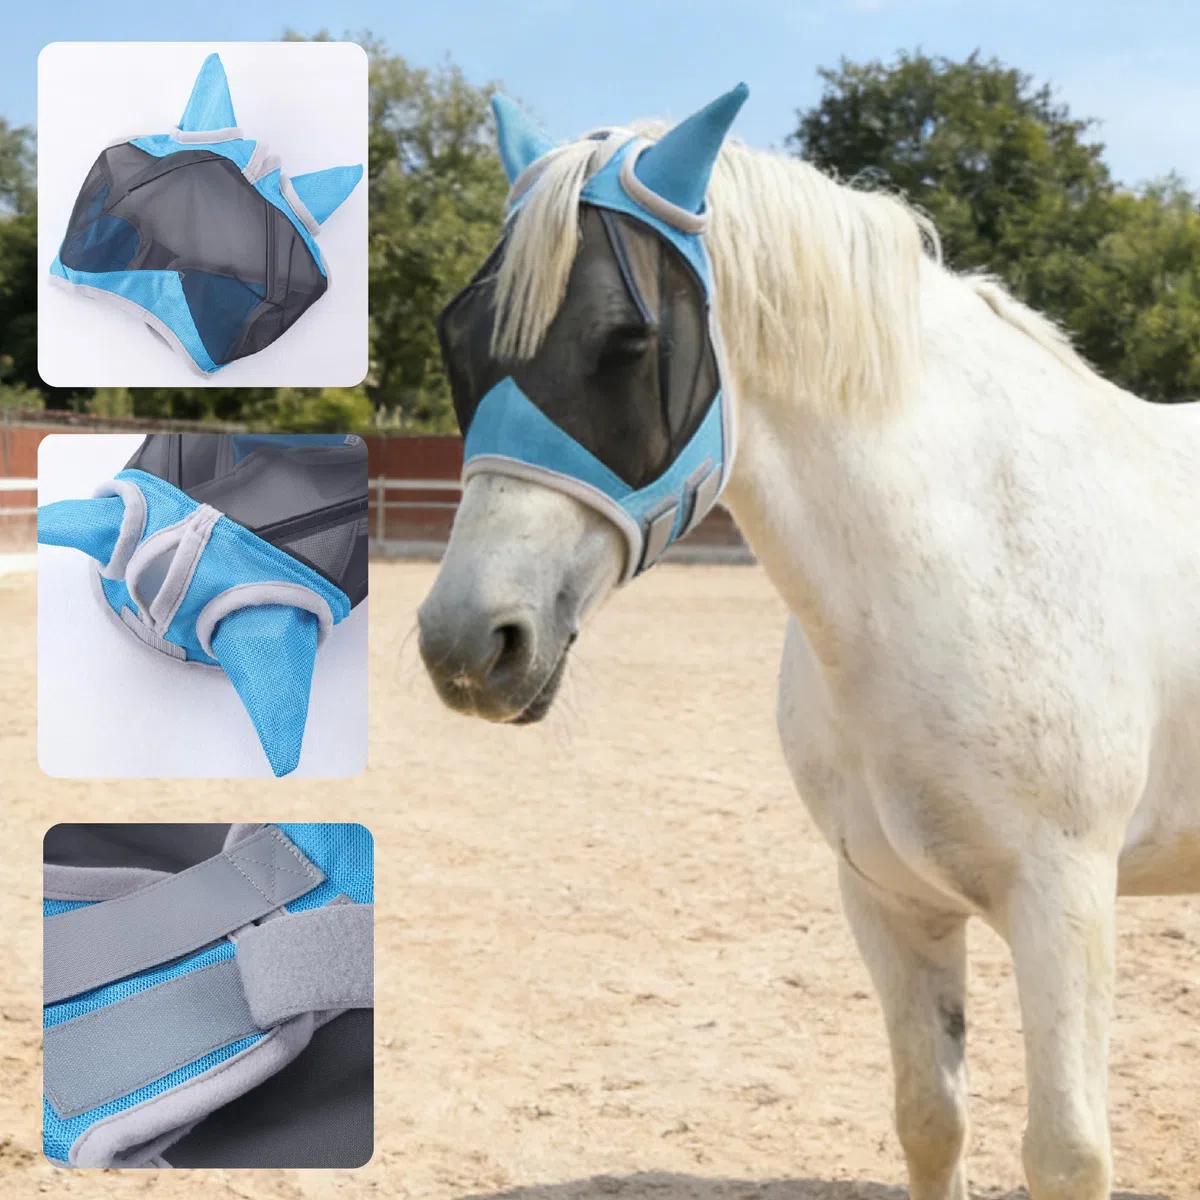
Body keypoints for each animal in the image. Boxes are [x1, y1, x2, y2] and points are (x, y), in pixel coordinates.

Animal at [416, 85, 1200, 1200]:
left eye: (631, 341)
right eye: (461, 337)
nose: (469, 644)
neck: (974, 557)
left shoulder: (1067, 902)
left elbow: (1066, 1152)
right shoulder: (887, 898)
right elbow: (930, 1122)